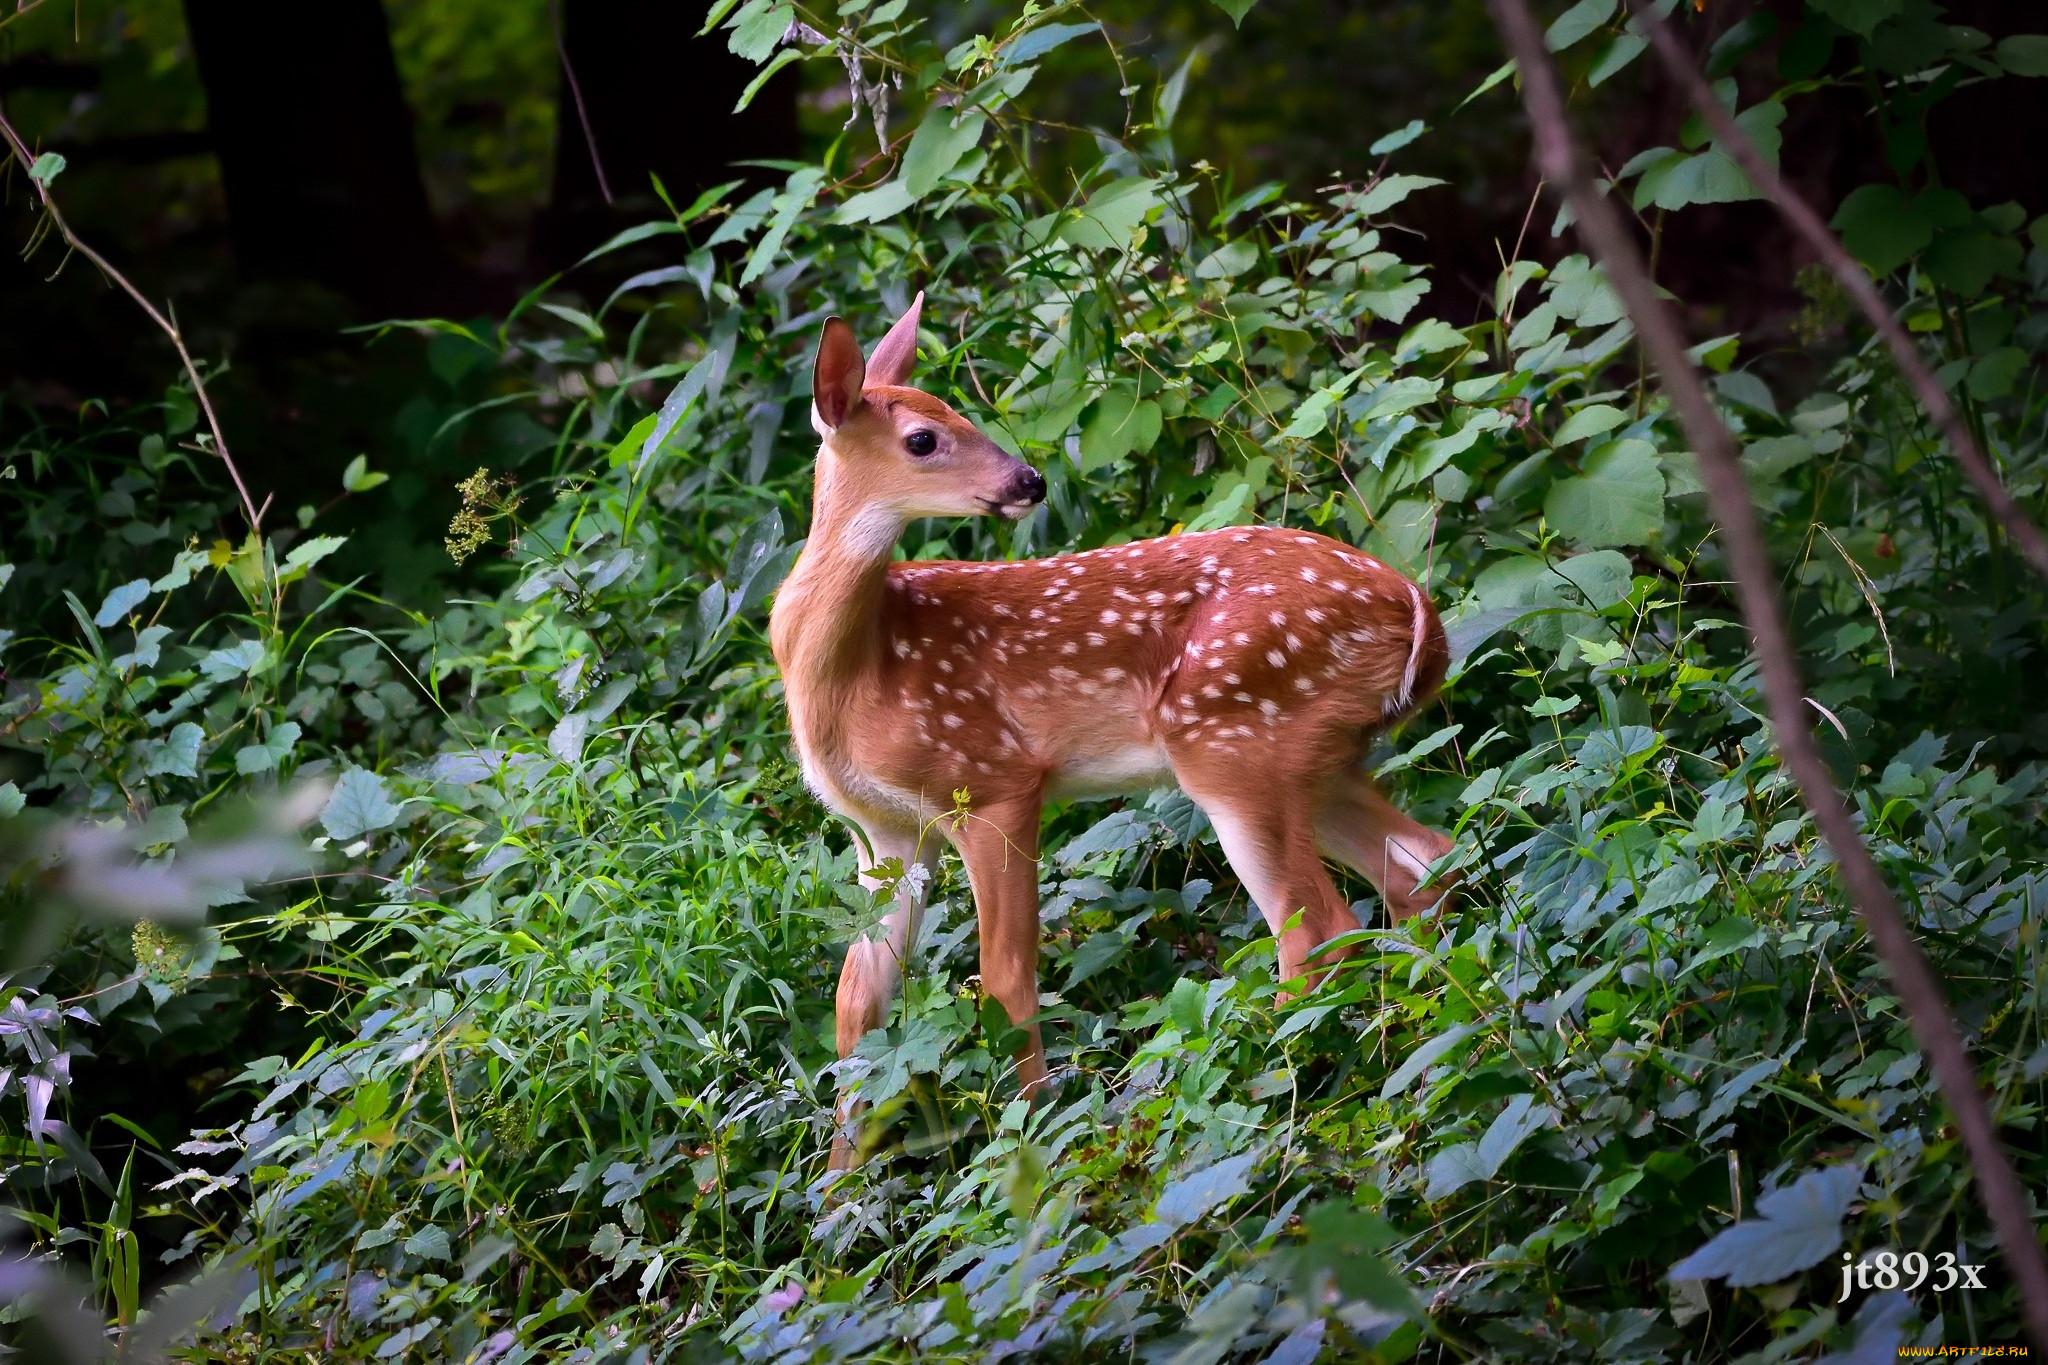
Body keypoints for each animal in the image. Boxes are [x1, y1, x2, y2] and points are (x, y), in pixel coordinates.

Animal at [770, 294, 1458, 1170]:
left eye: (960, 412)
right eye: (924, 436)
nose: (1029, 481)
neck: (853, 673)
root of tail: (1417, 609)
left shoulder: (992, 780)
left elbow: (1006, 977)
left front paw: (1032, 1142)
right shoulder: (883, 831)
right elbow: (857, 1004)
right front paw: (839, 1189)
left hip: (1235, 741)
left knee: (1318, 928)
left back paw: (1268, 1089)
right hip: (1317, 754)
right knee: (1420, 863)